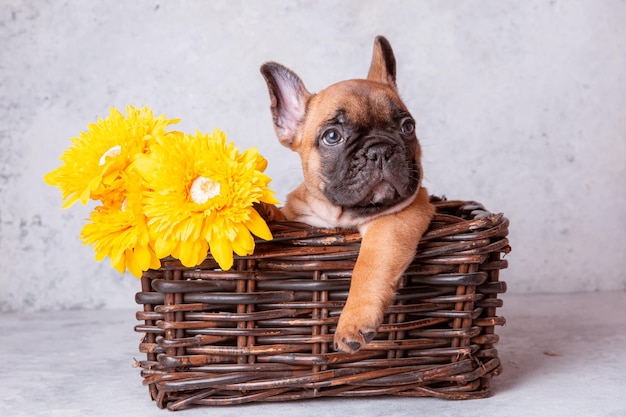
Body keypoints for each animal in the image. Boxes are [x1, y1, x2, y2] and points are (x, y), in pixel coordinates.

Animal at [260, 35, 432, 352]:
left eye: (407, 127)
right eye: (332, 136)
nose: (380, 149)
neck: (338, 214)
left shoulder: (398, 219)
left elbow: (369, 264)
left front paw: (353, 321)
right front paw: (262, 208)